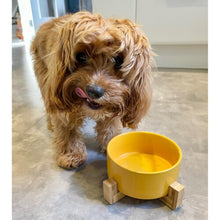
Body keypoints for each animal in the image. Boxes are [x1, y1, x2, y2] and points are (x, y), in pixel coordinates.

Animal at [30, 11, 153, 169]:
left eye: (119, 60)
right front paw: (71, 154)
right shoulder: (62, 103)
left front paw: (110, 143)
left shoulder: (114, 105)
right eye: (82, 56)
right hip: (44, 78)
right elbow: (67, 129)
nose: (94, 91)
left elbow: (110, 127)